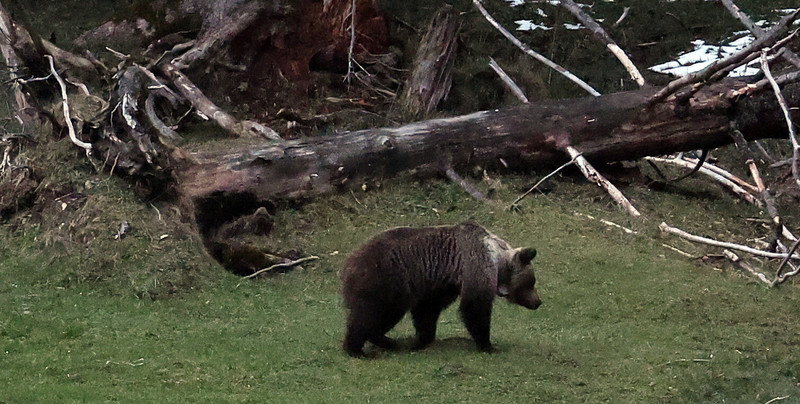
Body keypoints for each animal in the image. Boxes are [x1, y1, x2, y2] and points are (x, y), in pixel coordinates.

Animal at [340, 221, 540, 356]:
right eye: (531, 282)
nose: (538, 302)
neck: (497, 258)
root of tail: (348, 263)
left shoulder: (442, 282)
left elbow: (427, 309)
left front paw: (423, 338)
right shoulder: (475, 264)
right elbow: (475, 307)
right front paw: (488, 345)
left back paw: (385, 341)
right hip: (383, 280)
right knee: (370, 314)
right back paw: (359, 348)